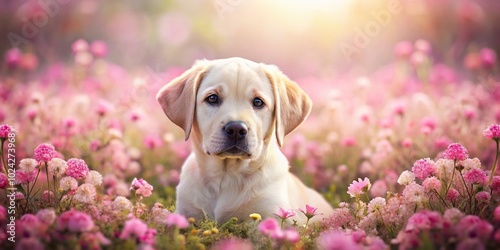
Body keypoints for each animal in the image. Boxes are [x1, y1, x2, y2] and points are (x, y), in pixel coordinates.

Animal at [156, 57, 334, 224]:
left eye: (258, 102)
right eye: (212, 98)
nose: (236, 129)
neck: (227, 177)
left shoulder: (277, 216)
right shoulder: (186, 212)